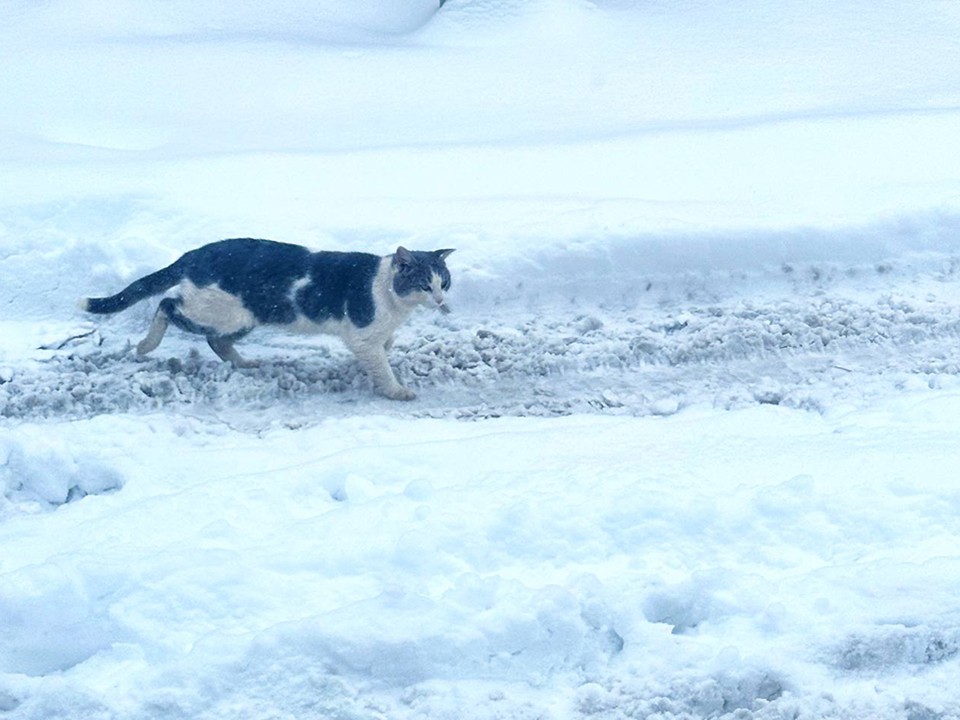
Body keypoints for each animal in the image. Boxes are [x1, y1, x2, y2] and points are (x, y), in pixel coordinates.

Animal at [81, 239, 454, 402]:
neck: (390, 296)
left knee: (215, 340)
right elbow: (382, 365)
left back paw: (245, 364)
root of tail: (195, 253)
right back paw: (147, 344)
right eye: (425, 284)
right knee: (167, 304)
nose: (440, 300)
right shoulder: (363, 335)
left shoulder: (375, 336)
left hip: (242, 318)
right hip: (220, 310)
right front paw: (396, 390)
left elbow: (385, 347)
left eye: (444, 282)